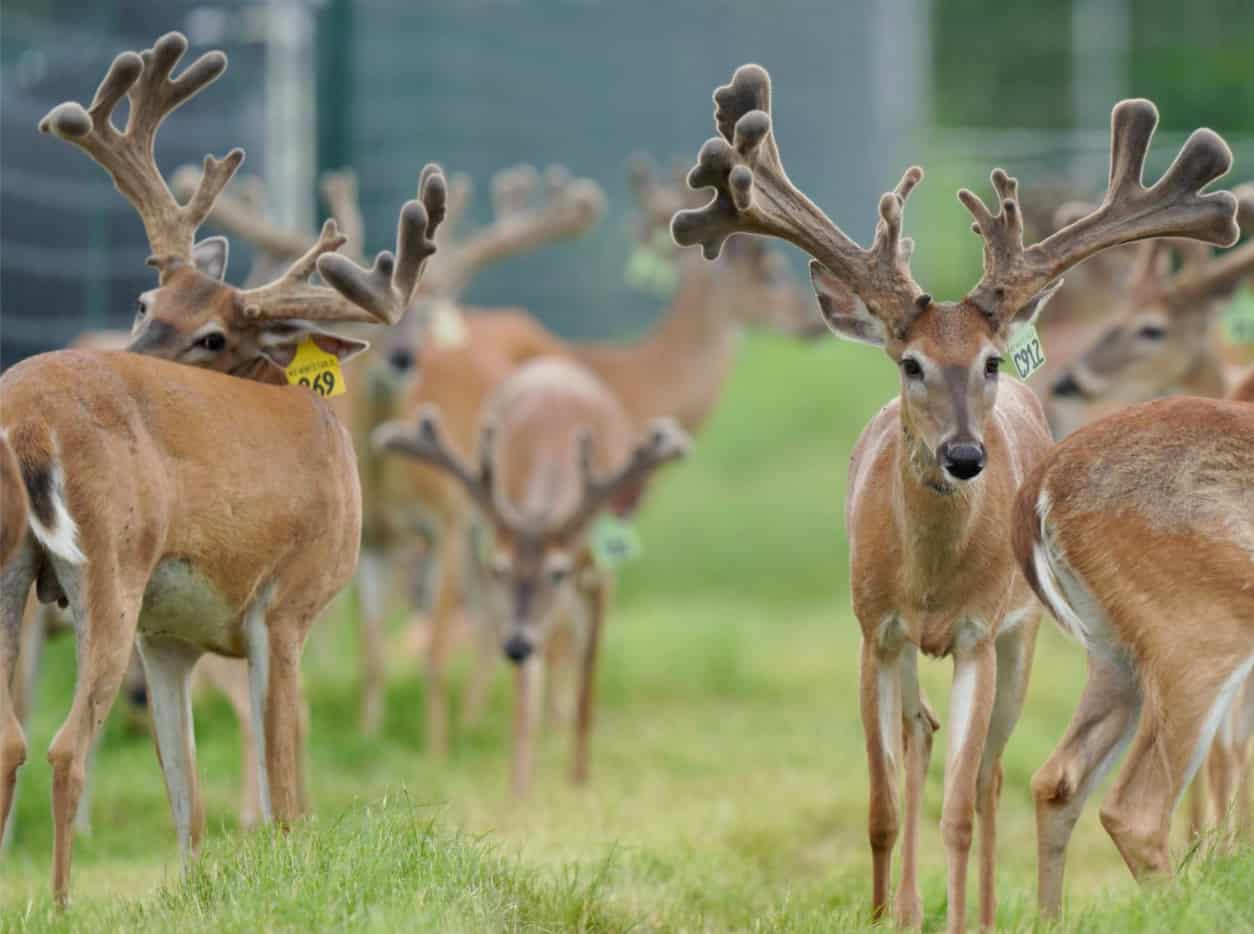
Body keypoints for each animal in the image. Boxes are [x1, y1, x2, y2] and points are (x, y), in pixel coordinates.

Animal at [0, 32, 444, 904]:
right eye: (144, 303)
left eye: (212, 336)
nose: (129, 347)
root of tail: (27, 415)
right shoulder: (289, 603)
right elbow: (287, 789)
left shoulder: (169, 635)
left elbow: (189, 800)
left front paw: (194, 891)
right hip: (110, 561)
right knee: (66, 746)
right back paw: (61, 905)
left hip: (15, 573)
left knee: (11, 739)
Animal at [373, 358, 688, 796]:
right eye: (500, 569)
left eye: (558, 572)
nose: (517, 644)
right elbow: (525, 697)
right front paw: (519, 788)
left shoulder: (600, 576)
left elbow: (588, 678)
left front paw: (579, 781)